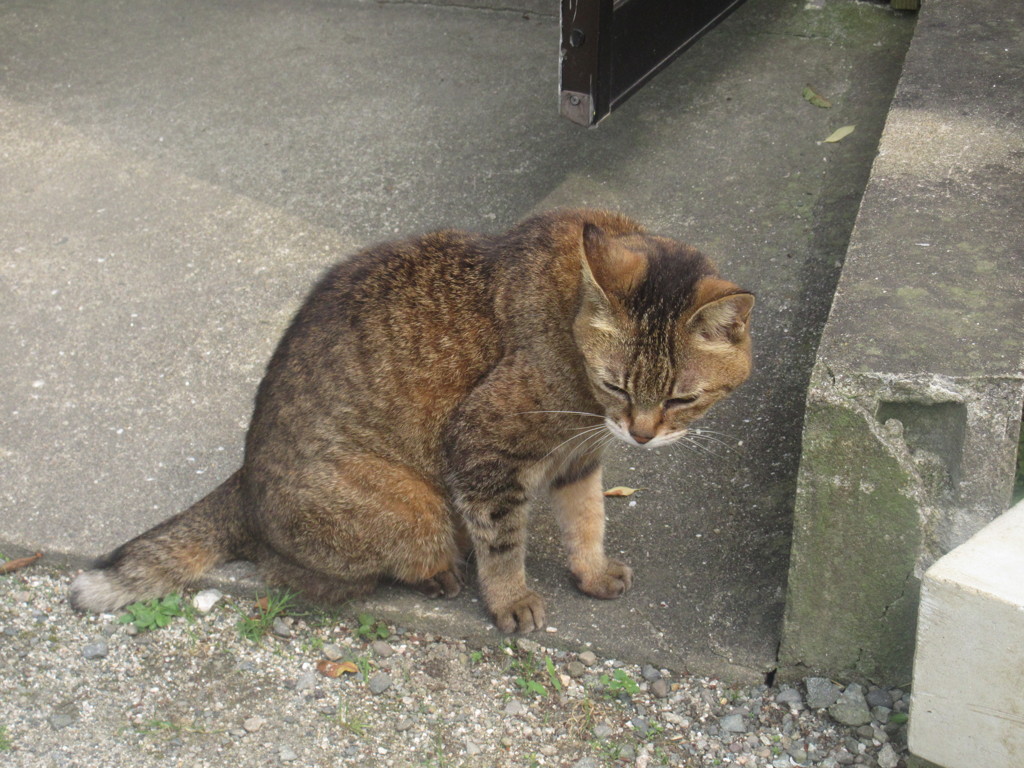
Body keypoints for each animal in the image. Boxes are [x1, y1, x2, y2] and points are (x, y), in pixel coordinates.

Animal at [70, 208, 753, 630]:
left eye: (681, 399)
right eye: (616, 384)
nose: (640, 433)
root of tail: (241, 480)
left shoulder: (579, 457)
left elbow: (588, 520)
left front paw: (590, 571)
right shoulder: (483, 448)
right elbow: (503, 543)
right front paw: (509, 599)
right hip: (414, 506)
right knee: (303, 572)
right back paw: (437, 574)